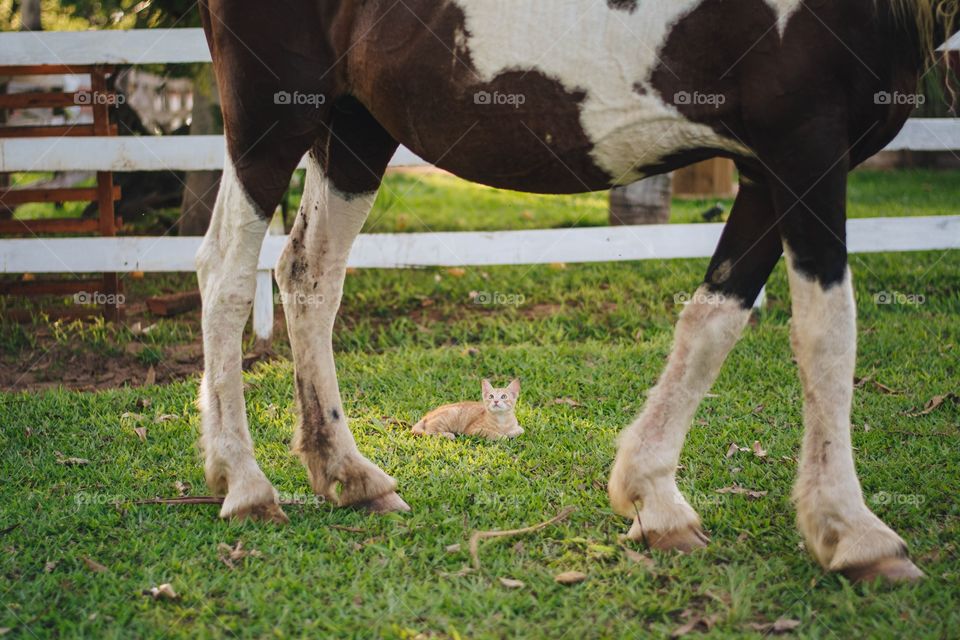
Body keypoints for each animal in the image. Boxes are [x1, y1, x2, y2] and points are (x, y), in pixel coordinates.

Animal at [195, 0, 956, 582]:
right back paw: (246, 484)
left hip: (354, 124)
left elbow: (716, 318)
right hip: (269, 114)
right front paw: (854, 532)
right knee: (225, 272)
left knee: (309, 274)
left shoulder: (767, 170)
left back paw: (348, 475)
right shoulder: (805, 143)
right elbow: (830, 331)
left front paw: (653, 499)